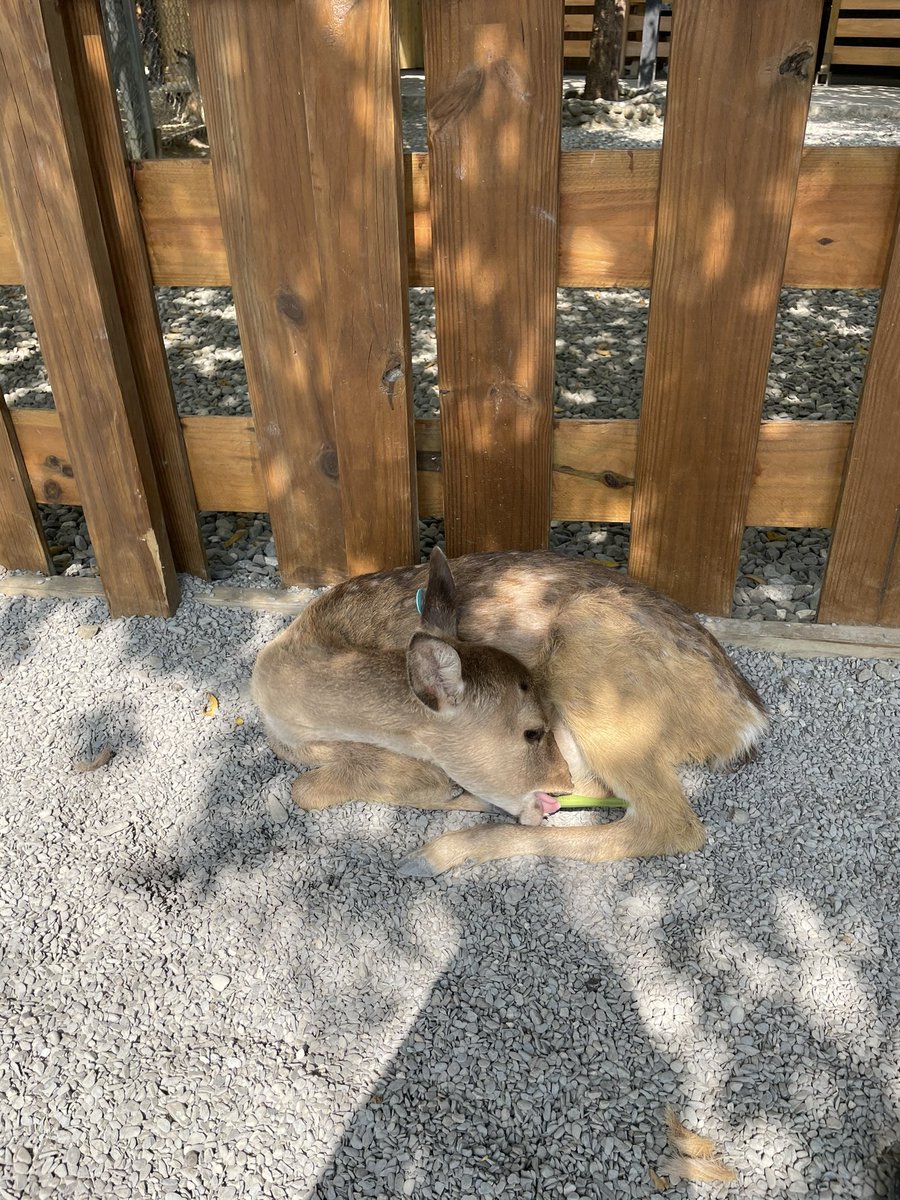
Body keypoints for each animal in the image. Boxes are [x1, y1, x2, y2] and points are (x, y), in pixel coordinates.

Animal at [251, 548, 767, 877]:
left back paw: (438, 853)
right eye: (532, 732)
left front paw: (451, 793)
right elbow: (305, 780)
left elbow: (305, 788)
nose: (556, 779)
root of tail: (745, 720)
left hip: (598, 671)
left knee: (669, 822)